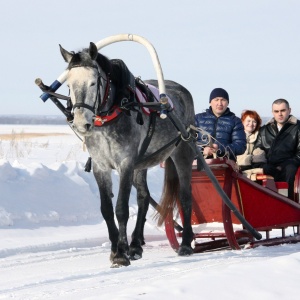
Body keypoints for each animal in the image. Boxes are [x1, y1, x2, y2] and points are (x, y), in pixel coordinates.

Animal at [60, 42, 196, 268]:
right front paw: (117, 249)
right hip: (141, 164)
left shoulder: (125, 163)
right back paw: (136, 245)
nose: (80, 123)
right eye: (68, 85)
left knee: (185, 197)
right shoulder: (101, 166)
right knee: (143, 197)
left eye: (93, 82)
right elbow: (106, 209)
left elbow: (121, 208)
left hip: (182, 153)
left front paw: (121, 253)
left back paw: (185, 243)